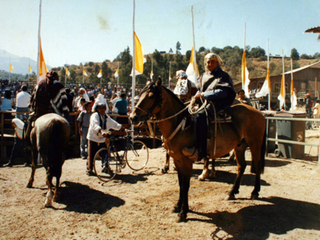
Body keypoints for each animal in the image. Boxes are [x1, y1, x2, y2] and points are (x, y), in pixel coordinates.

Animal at [130, 79, 268, 223]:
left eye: (151, 96)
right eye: (139, 94)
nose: (133, 117)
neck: (182, 125)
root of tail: (259, 113)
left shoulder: (186, 161)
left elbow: (186, 185)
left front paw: (183, 212)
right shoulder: (177, 160)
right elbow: (181, 184)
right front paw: (178, 205)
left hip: (255, 144)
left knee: (257, 165)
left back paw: (254, 192)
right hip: (239, 146)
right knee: (241, 166)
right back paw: (232, 192)